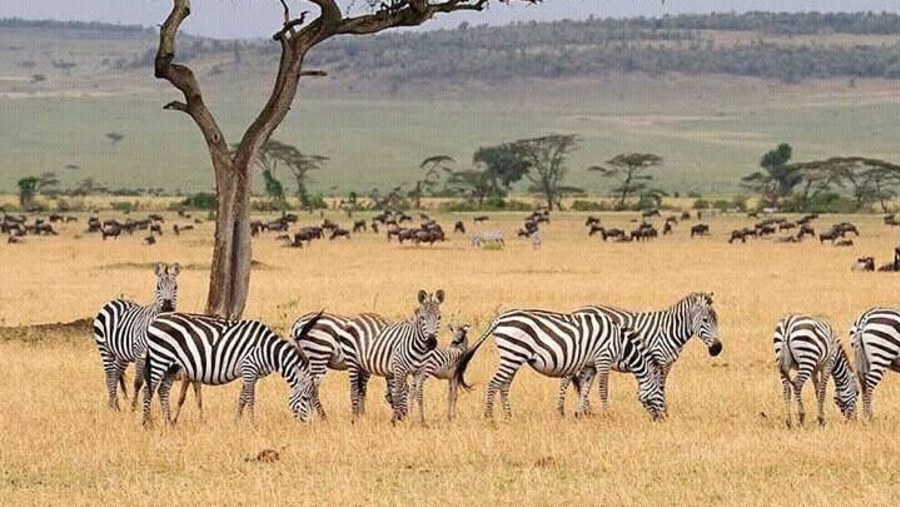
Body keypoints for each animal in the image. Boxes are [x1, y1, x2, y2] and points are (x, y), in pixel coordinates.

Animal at [92, 262, 200, 416]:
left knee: (116, 374)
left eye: (175, 287)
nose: (167, 304)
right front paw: (134, 408)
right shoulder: (141, 354)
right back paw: (113, 407)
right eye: (158, 287)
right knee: (109, 377)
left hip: (122, 355)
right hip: (105, 349)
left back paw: (114, 404)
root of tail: (114, 301)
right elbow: (138, 382)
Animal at [141, 312, 324, 426]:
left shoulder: (252, 373)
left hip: (172, 366)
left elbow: (242, 398)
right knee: (148, 390)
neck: (267, 350)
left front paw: (237, 421)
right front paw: (252, 424)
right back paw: (147, 423)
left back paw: (167, 422)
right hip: (160, 358)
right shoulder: (249, 368)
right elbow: (251, 398)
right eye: (306, 398)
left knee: (162, 390)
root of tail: (155, 320)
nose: (309, 425)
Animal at [344, 292, 442, 422]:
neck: (419, 348)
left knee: (361, 389)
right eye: (422, 318)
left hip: (364, 366)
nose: (431, 342)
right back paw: (354, 419)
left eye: (439, 317)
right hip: (352, 360)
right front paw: (394, 421)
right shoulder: (399, 368)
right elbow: (397, 394)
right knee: (354, 389)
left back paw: (361, 416)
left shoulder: (420, 371)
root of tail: (358, 317)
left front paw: (422, 421)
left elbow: (418, 395)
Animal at [454, 310, 664, 420]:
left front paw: (580, 414)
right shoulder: (603, 359)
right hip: (513, 354)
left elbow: (585, 389)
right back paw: (489, 416)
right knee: (493, 383)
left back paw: (509, 415)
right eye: (661, 393)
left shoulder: (590, 364)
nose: (662, 419)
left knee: (504, 385)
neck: (620, 344)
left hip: (513, 357)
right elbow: (603, 390)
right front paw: (606, 415)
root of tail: (499, 319)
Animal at [560, 294, 720, 416]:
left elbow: (662, 385)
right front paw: (661, 410)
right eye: (705, 320)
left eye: (717, 320)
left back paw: (587, 411)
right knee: (566, 380)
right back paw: (563, 410)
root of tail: (576, 311)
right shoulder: (658, 359)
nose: (717, 348)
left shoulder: (668, 363)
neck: (670, 330)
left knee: (582, 381)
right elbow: (659, 385)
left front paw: (663, 409)